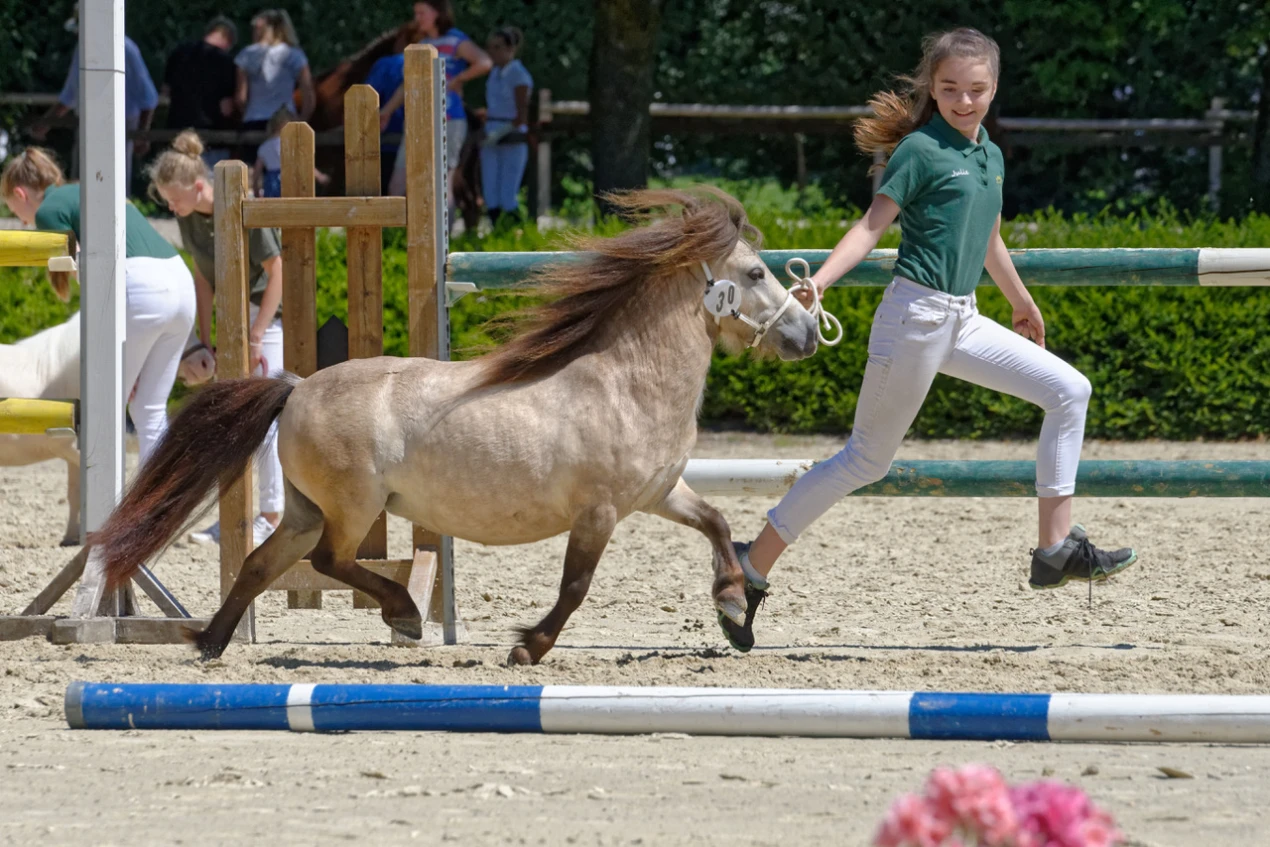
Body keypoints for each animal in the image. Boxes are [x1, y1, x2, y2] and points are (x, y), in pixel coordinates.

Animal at [88, 188, 821, 665]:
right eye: (755, 271)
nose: (809, 332)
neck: (626, 383)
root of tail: (295, 389)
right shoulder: (601, 512)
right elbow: (576, 586)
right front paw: (528, 647)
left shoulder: (659, 493)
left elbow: (718, 523)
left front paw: (735, 608)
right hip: (352, 507)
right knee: (330, 560)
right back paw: (405, 615)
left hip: (303, 509)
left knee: (262, 562)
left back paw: (210, 642)